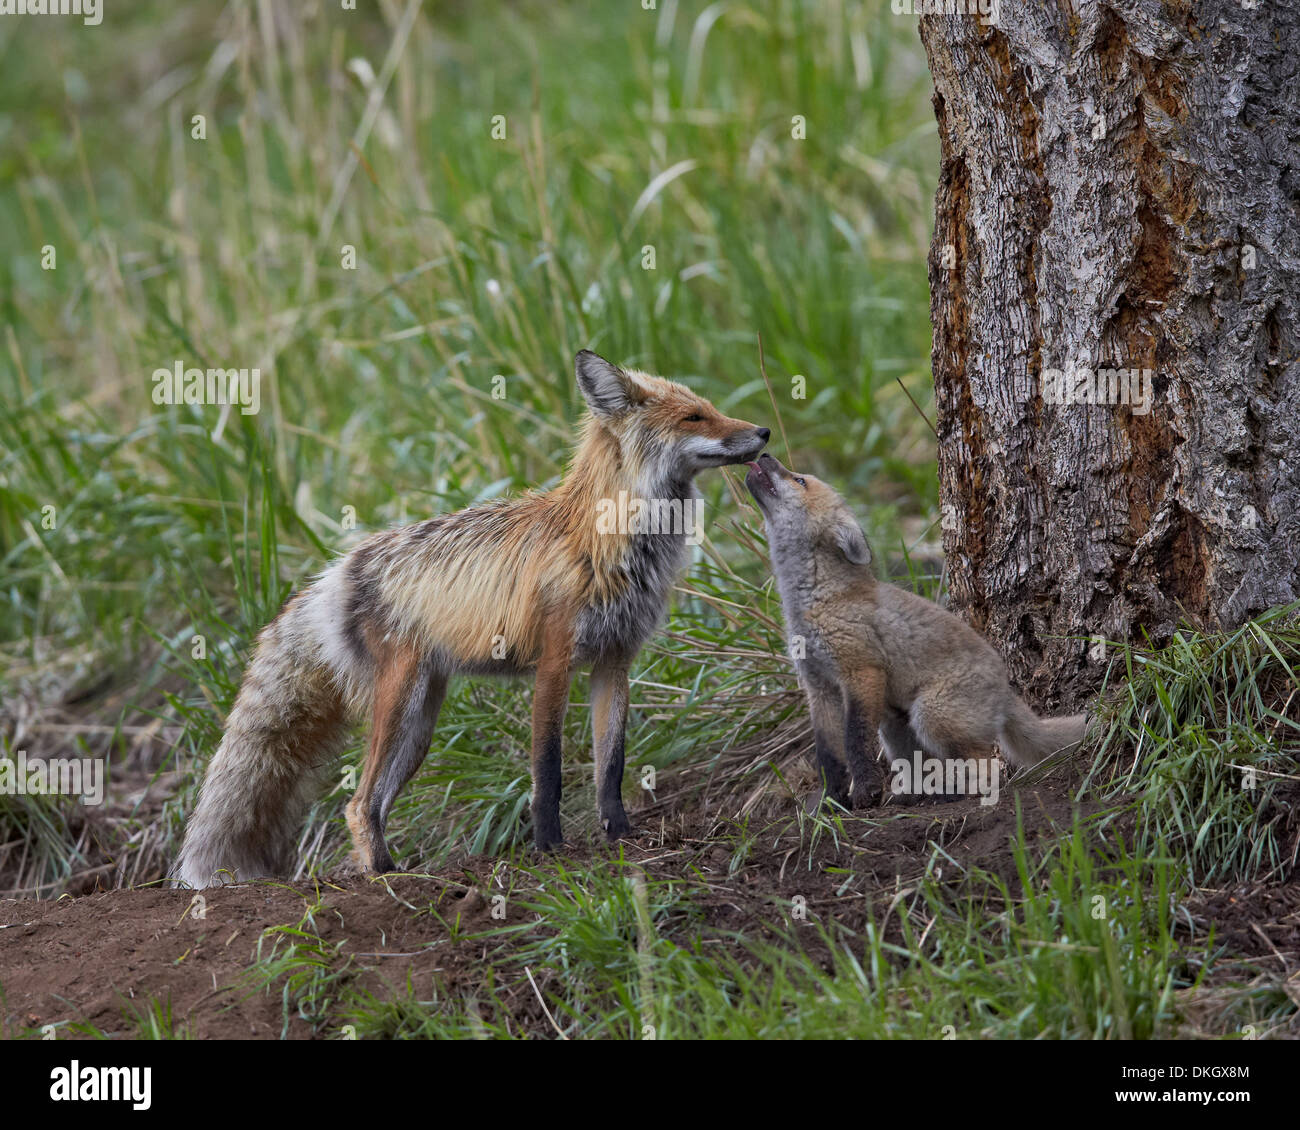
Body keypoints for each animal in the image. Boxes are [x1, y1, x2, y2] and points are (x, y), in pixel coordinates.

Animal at [176, 348, 764, 884]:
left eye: (710, 408)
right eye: (694, 417)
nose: (762, 431)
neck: (612, 542)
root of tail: (339, 569)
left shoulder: (615, 660)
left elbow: (611, 766)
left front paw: (619, 836)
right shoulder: (555, 662)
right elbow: (547, 770)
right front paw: (549, 849)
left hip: (420, 724)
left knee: (373, 801)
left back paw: (387, 870)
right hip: (401, 702)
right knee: (357, 802)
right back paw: (384, 876)